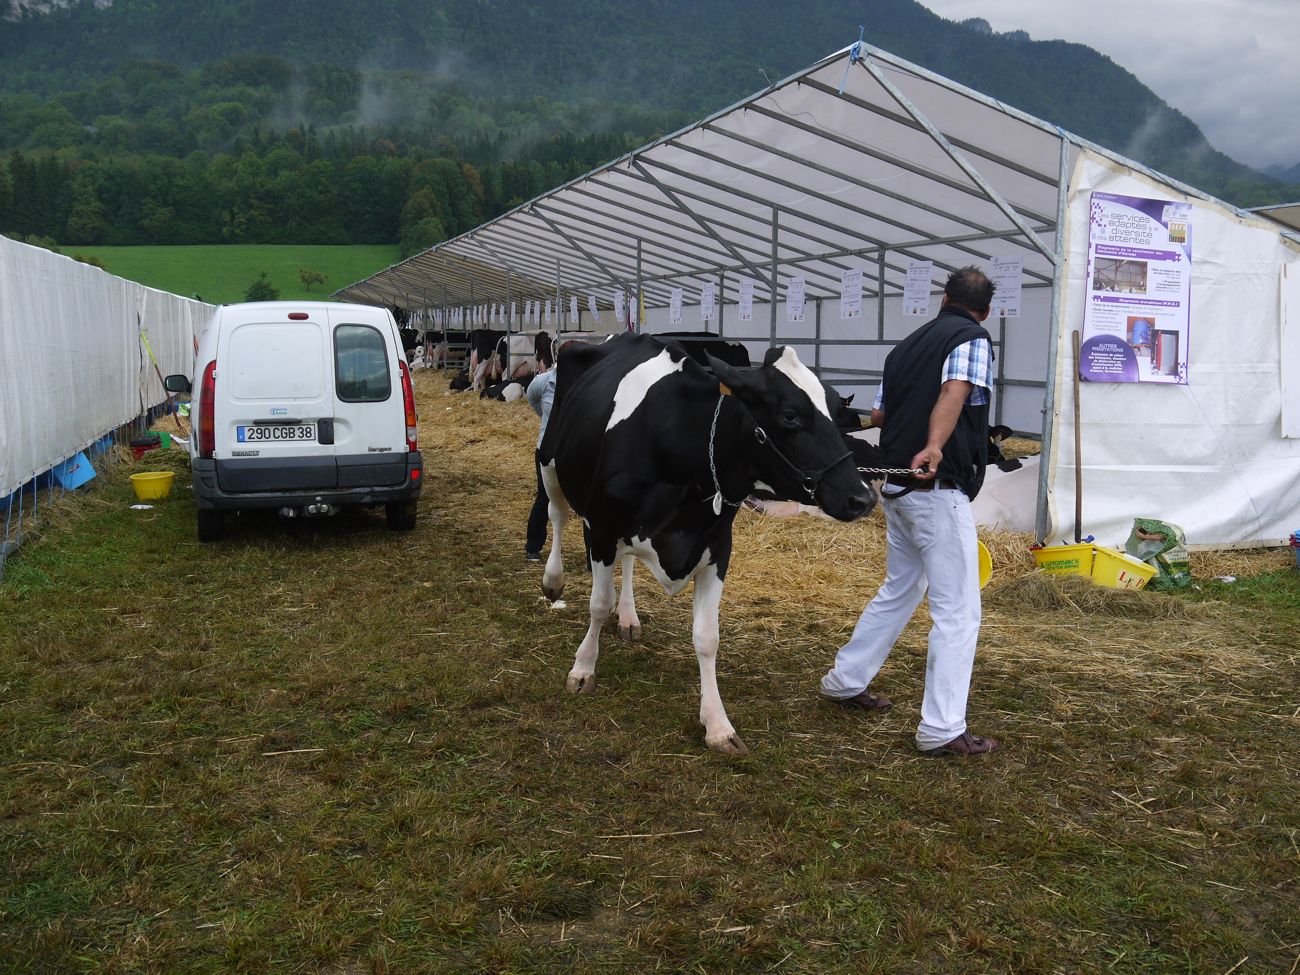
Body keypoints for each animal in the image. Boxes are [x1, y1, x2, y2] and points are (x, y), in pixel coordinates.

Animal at [537, 334, 875, 756]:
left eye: (836, 410)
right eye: (790, 415)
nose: (862, 498)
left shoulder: (716, 548)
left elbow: (707, 638)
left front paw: (717, 725)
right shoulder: (601, 527)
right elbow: (598, 604)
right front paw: (583, 669)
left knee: (627, 560)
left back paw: (629, 617)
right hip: (550, 460)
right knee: (557, 514)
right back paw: (553, 580)